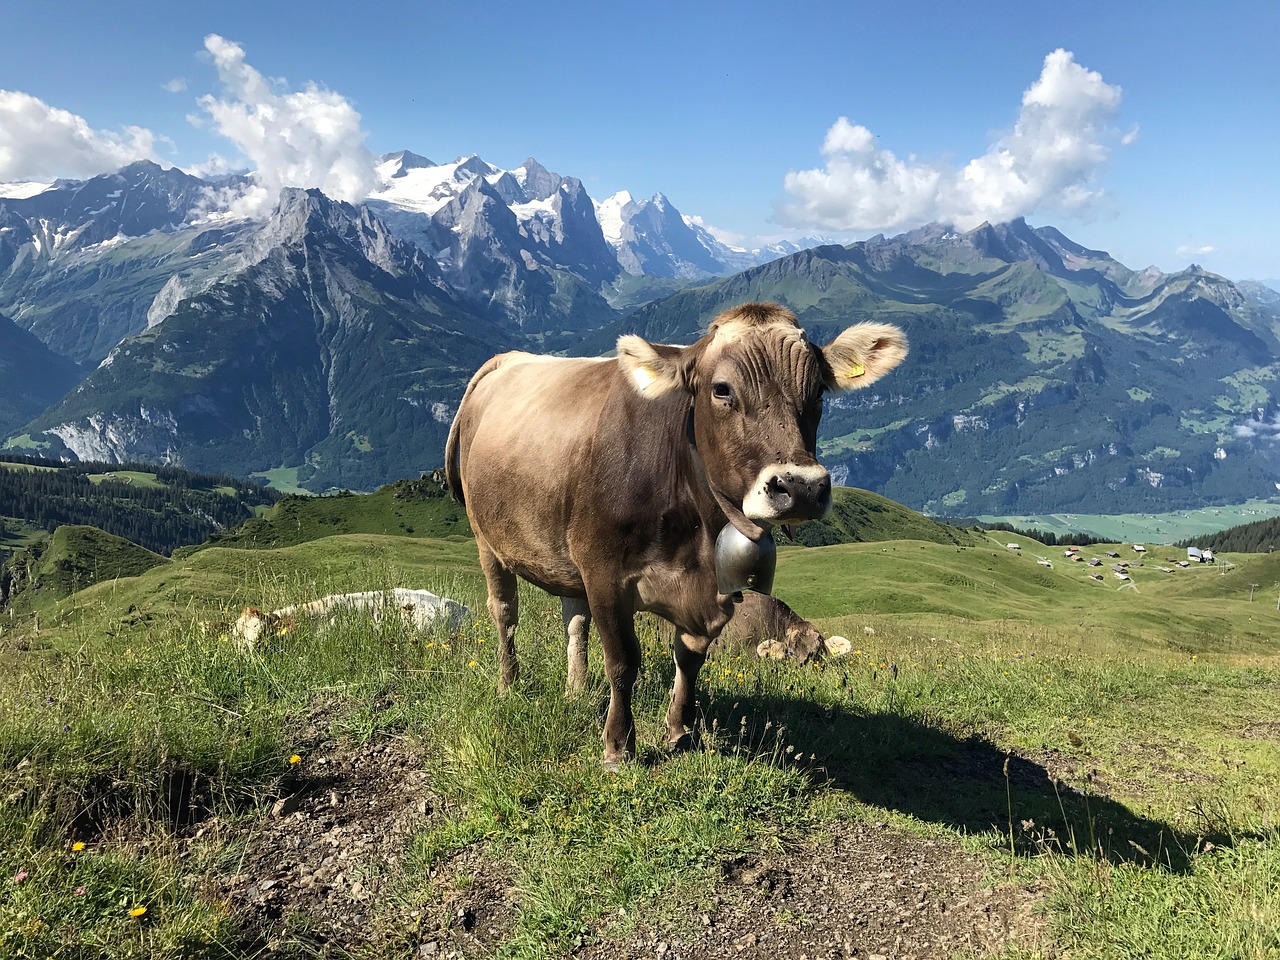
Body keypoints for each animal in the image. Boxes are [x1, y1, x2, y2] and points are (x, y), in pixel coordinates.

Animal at [445, 300, 906, 768]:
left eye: (818, 393)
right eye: (722, 390)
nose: (802, 488)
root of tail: (506, 360)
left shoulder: (713, 589)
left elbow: (689, 657)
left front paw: (680, 732)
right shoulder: (603, 572)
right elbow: (623, 660)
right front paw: (618, 745)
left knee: (574, 620)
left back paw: (576, 692)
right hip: (488, 540)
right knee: (505, 613)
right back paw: (509, 685)